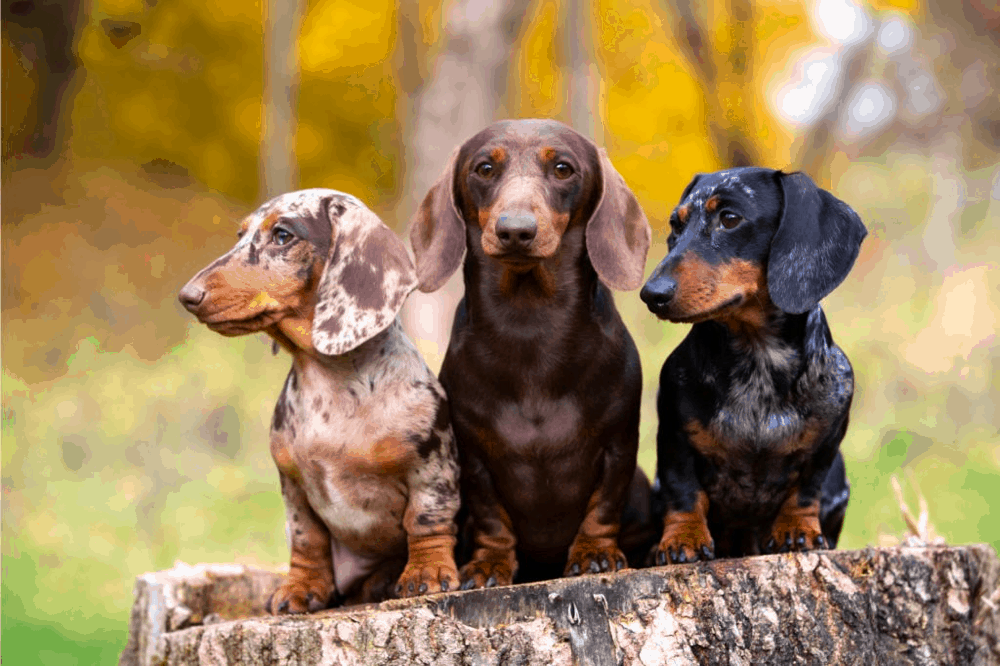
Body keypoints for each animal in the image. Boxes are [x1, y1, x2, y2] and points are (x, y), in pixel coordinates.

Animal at [180, 189, 460, 608]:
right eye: (240, 235)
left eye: (282, 235)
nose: (187, 296)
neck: (329, 382)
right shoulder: (294, 487)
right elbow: (306, 540)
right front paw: (301, 587)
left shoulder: (430, 467)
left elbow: (426, 520)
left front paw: (428, 570)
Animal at [408, 119, 652, 588]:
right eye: (484, 168)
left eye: (563, 168)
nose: (515, 230)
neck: (530, 325)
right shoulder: (475, 458)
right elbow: (492, 518)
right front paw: (489, 565)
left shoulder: (618, 446)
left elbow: (603, 506)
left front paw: (594, 553)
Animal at [640, 167, 868, 560]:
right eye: (675, 224)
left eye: (729, 218)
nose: (652, 294)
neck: (758, 358)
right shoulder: (673, 435)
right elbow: (683, 491)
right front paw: (682, 538)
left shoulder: (828, 442)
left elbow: (806, 489)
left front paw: (797, 530)